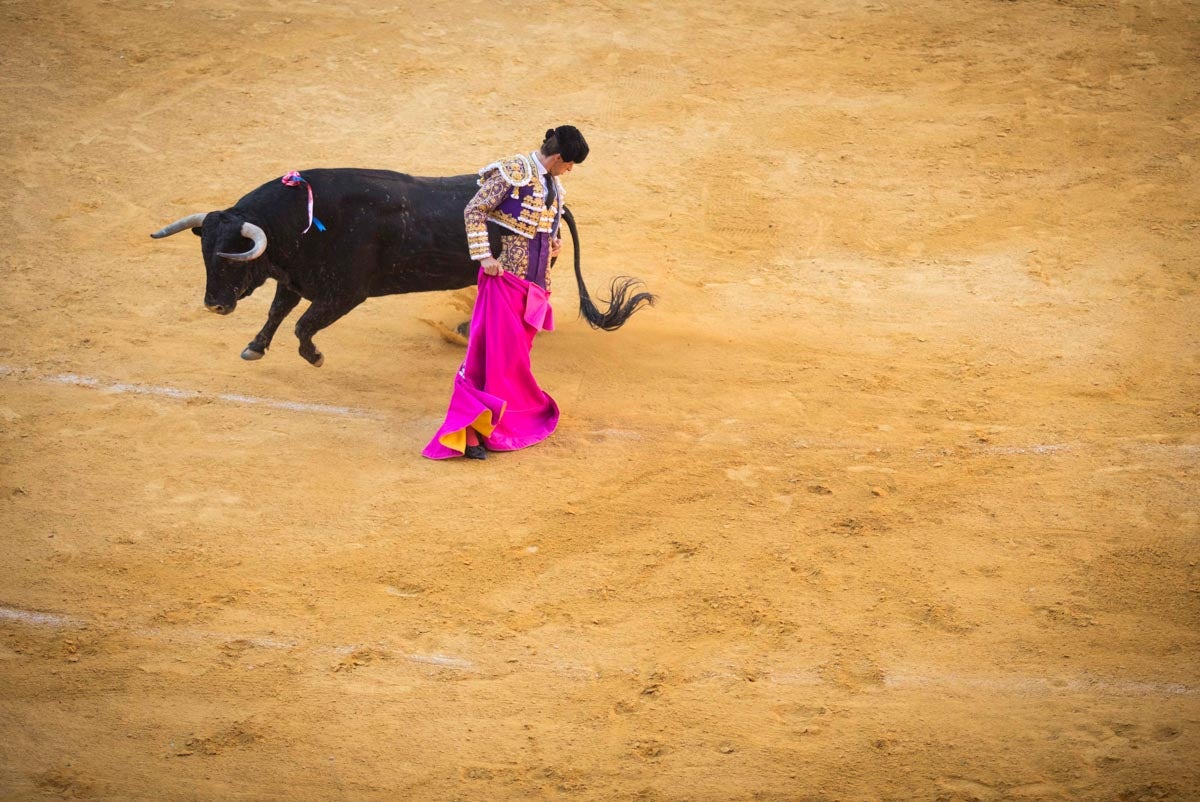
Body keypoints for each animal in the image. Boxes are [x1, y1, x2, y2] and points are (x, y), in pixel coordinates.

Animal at [153, 170, 657, 367]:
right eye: (205, 254)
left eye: (233, 256)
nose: (214, 304)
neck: (298, 221)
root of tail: (554, 198)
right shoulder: (296, 280)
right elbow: (279, 313)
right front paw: (254, 347)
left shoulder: (344, 294)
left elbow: (301, 325)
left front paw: (314, 356)